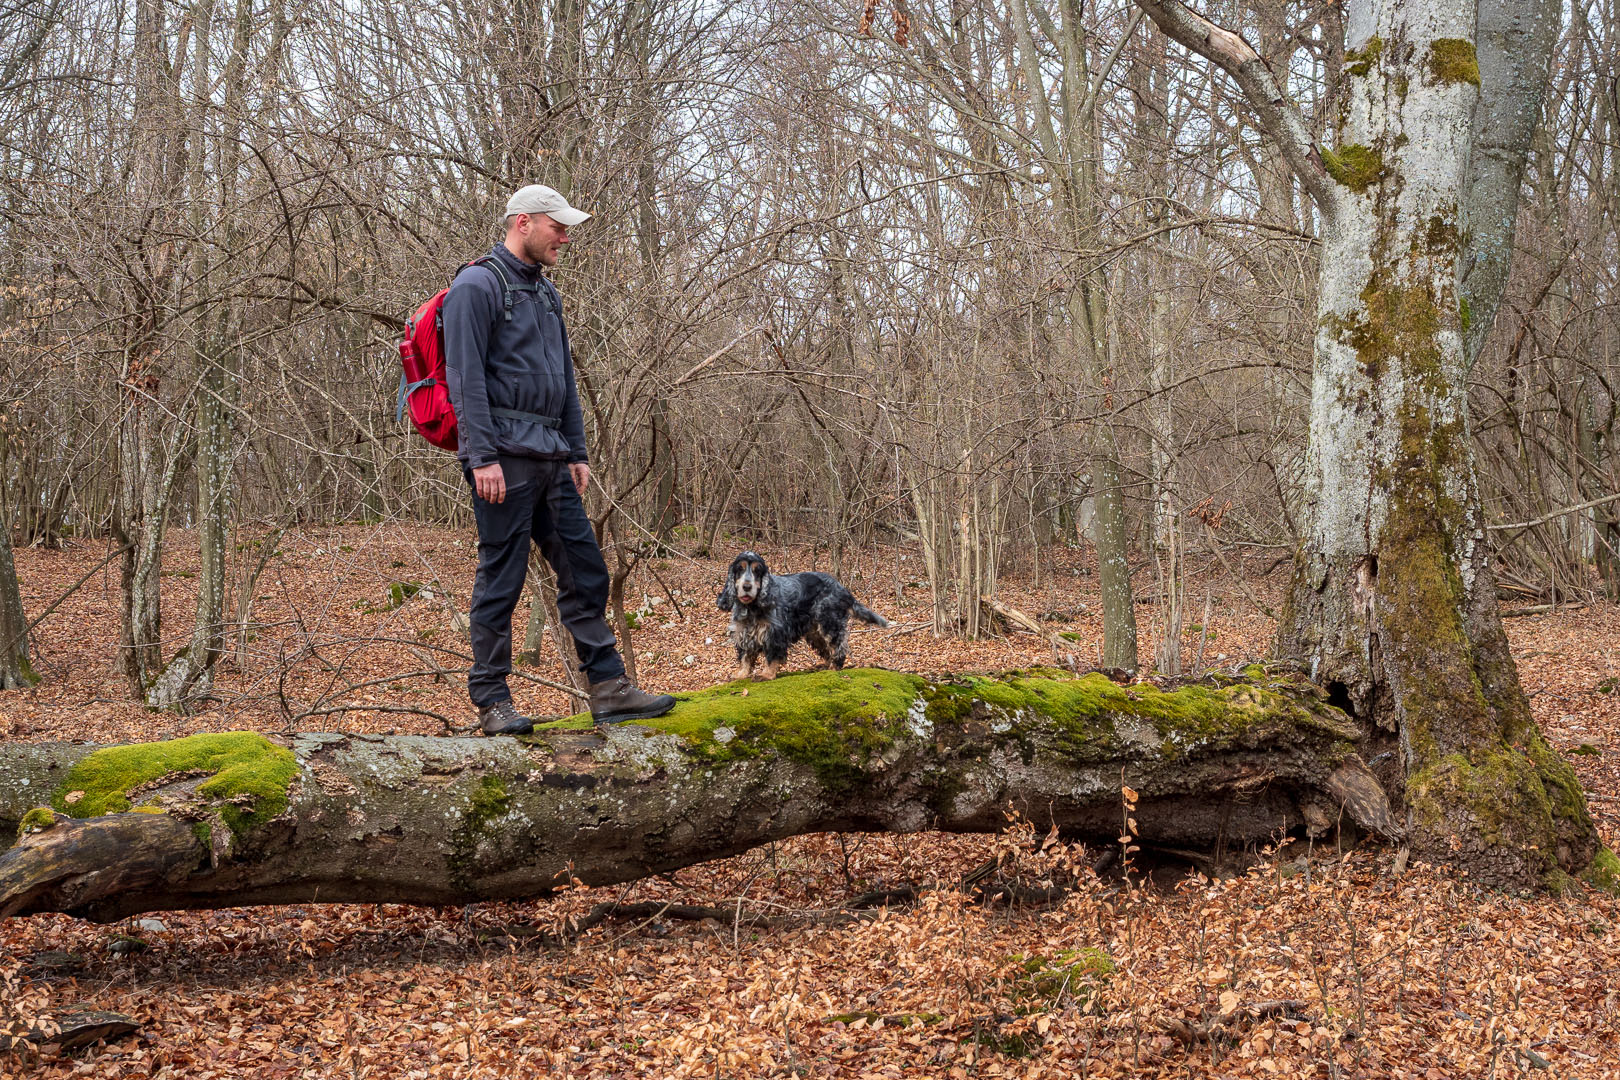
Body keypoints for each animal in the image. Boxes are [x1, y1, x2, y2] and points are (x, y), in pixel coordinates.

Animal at [722, 553, 894, 680]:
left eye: (757, 571)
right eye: (739, 569)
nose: (747, 586)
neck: (751, 607)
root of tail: (842, 589)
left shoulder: (774, 634)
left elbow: (771, 657)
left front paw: (766, 675)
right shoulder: (744, 632)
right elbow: (745, 656)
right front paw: (741, 674)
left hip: (829, 623)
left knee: (838, 648)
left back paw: (833, 668)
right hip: (815, 632)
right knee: (827, 650)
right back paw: (824, 666)